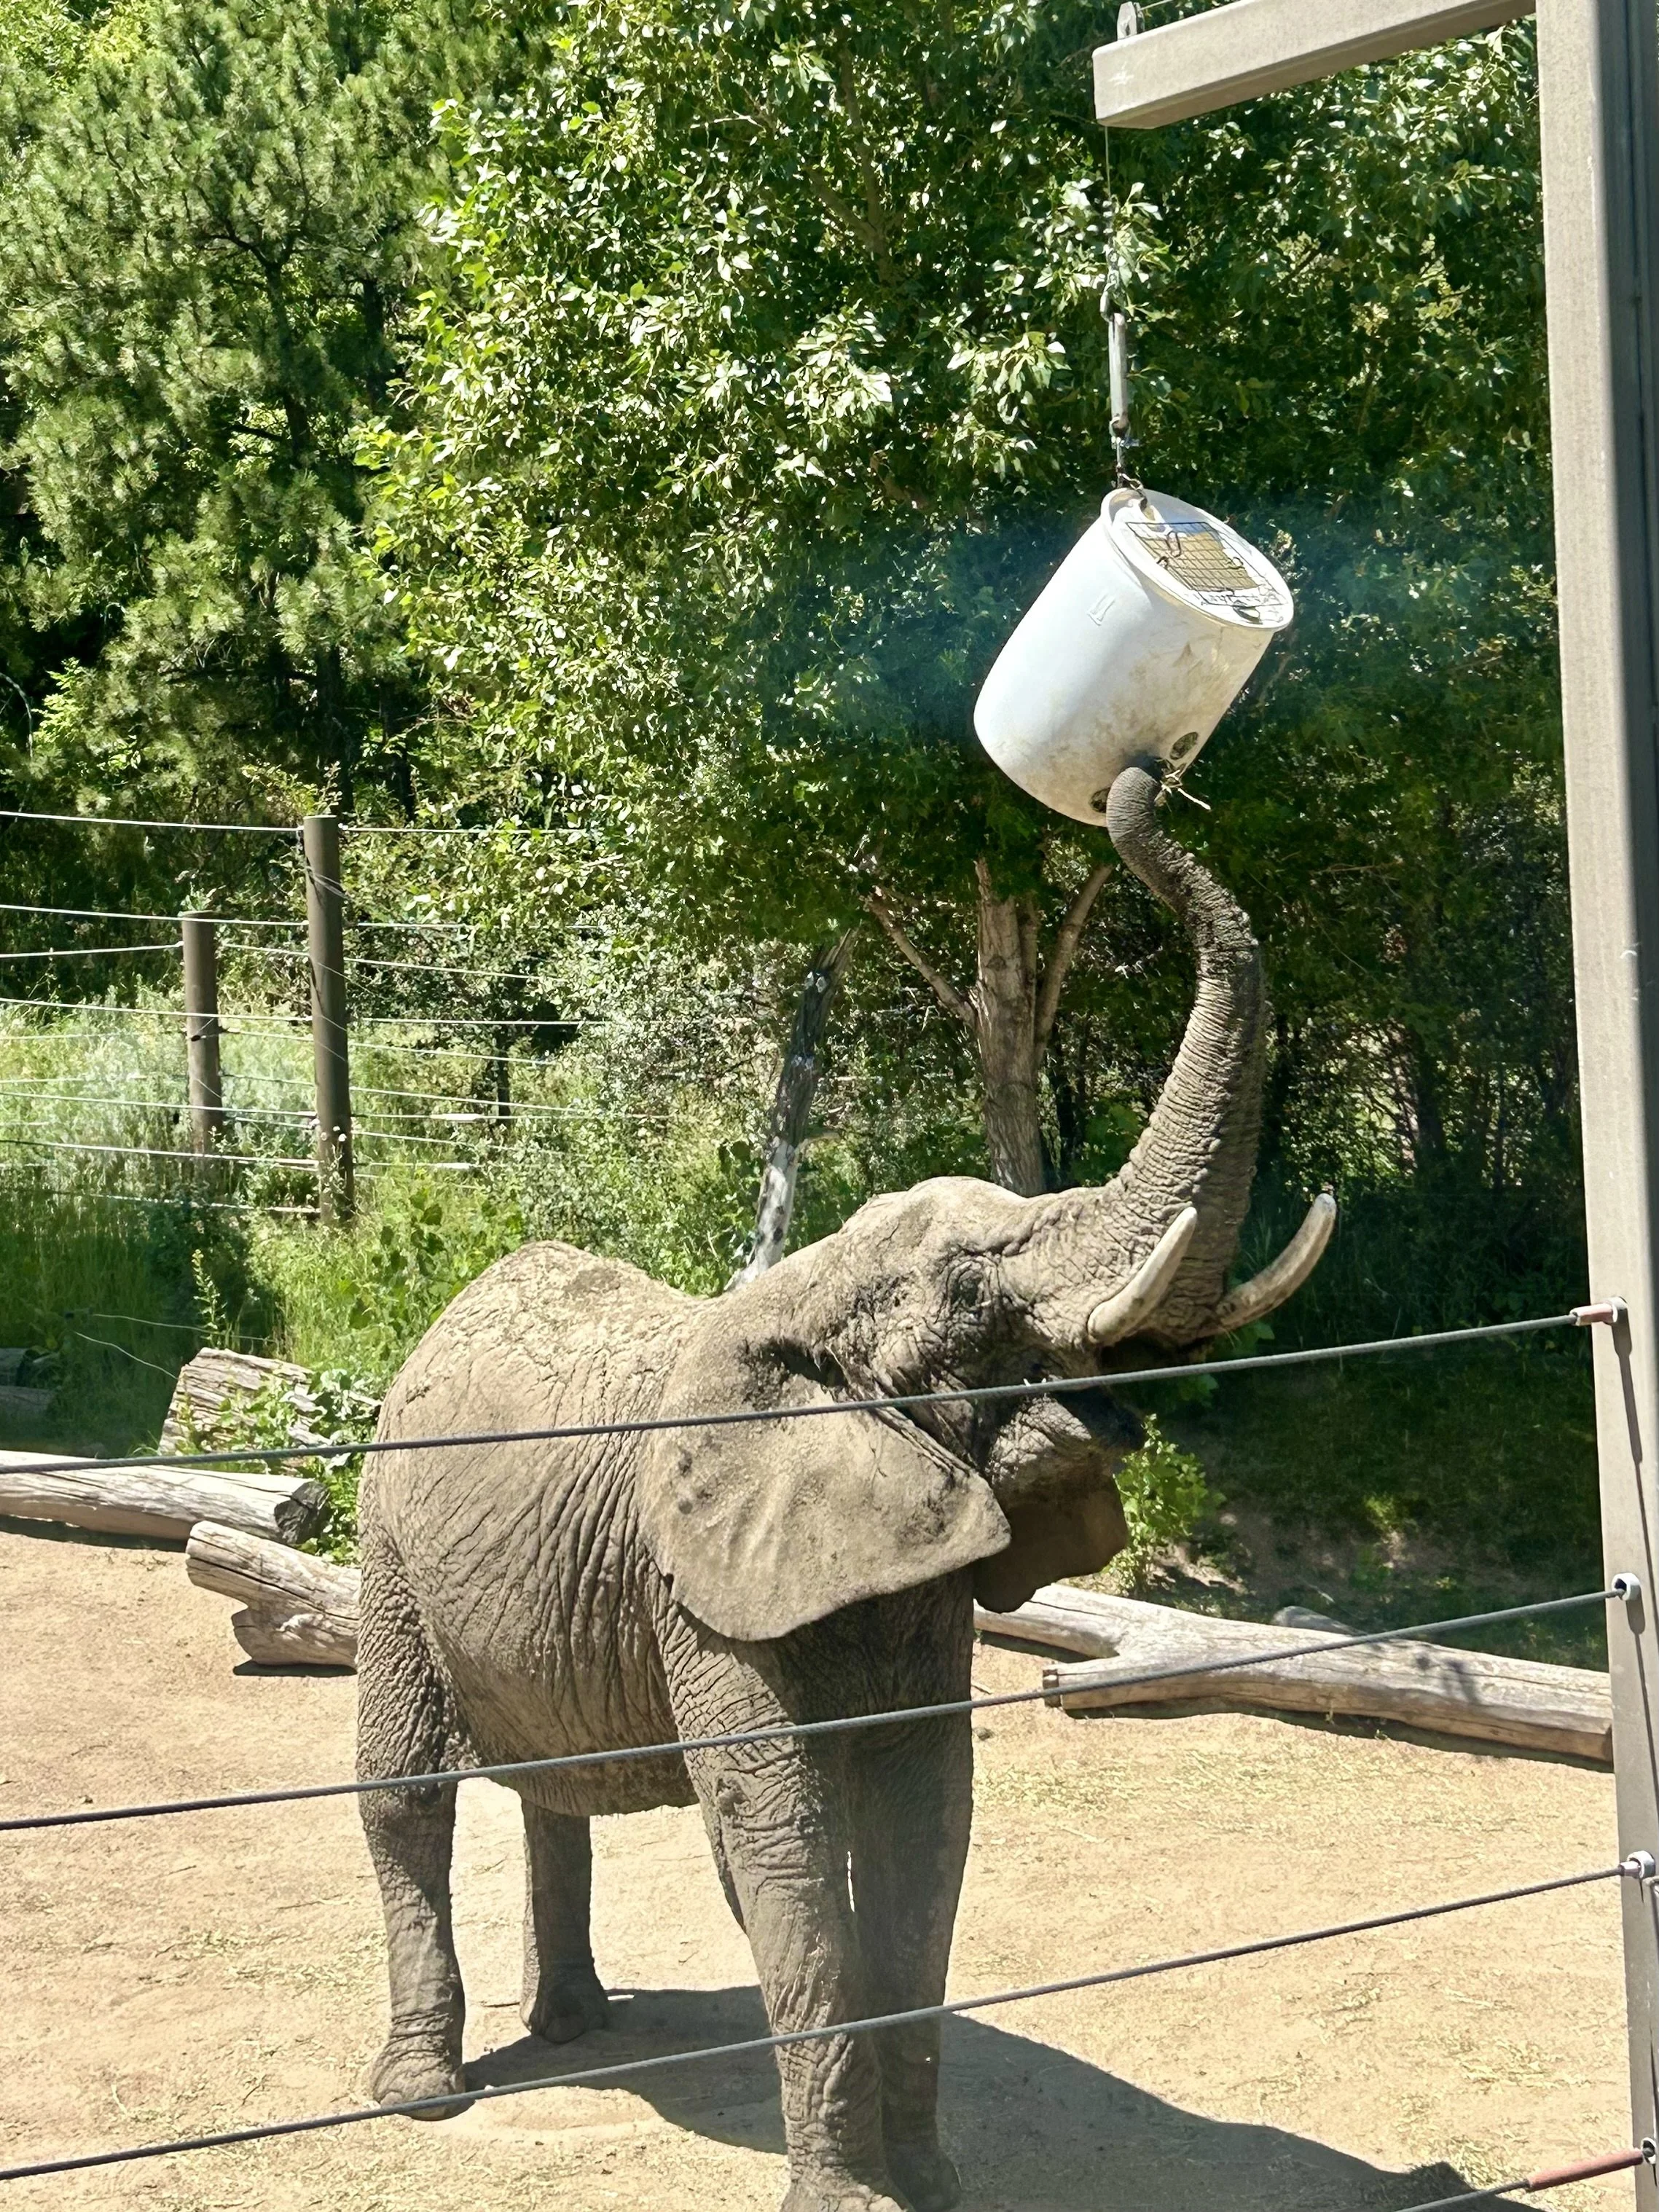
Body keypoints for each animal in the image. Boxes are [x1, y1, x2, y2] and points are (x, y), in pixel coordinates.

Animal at [355, 760, 1335, 2212]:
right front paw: (852, 2198)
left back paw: (579, 2025)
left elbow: (928, 1820)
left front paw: (930, 2183)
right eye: (968, 1290)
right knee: (406, 1792)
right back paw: (425, 2095)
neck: (800, 1300)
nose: (1138, 783)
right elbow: (787, 1842)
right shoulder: (702, 1597)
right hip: (389, 1545)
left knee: (551, 1788)